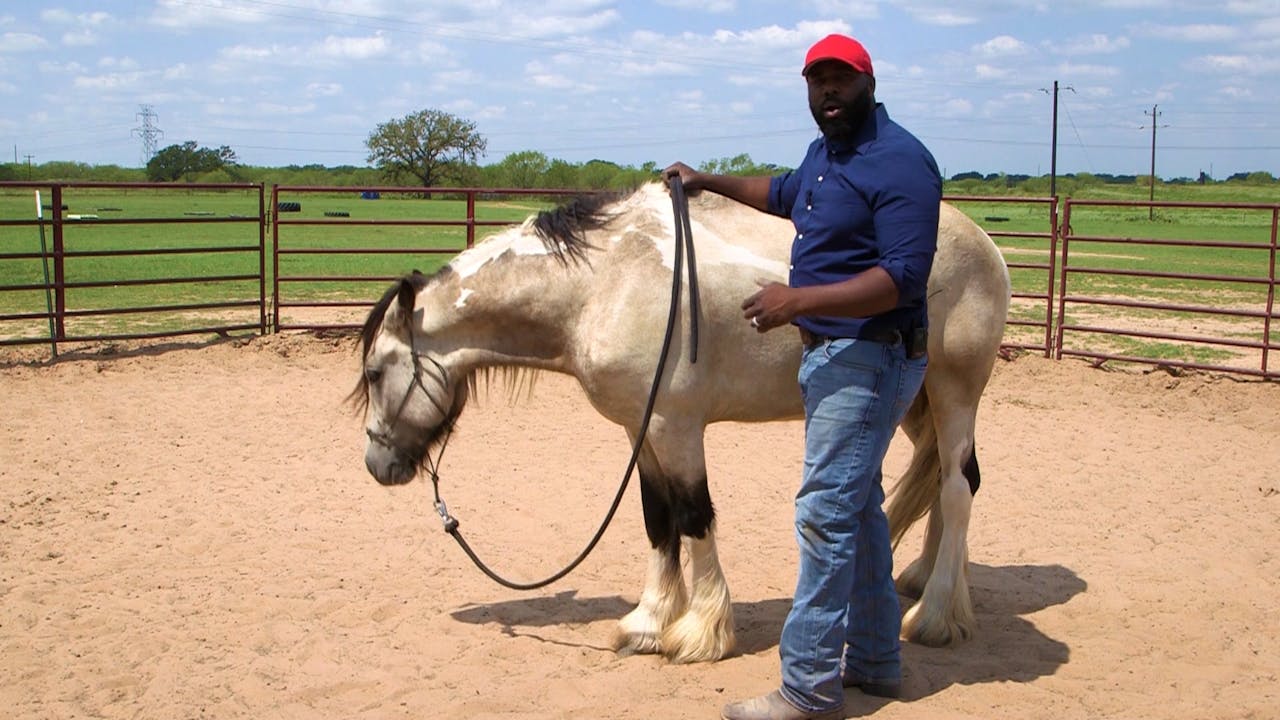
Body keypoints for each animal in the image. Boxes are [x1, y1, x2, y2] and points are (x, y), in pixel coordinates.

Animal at [352, 182, 1011, 663]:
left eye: (377, 371)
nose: (377, 464)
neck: (603, 283)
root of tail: (985, 243)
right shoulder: (639, 431)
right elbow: (657, 519)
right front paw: (648, 622)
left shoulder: (677, 427)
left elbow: (694, 516)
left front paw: (700, 633)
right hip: (914, 404)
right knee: (945, 481)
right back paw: (925, 579)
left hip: (954, 392)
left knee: (957, 489)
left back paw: (935, 616)